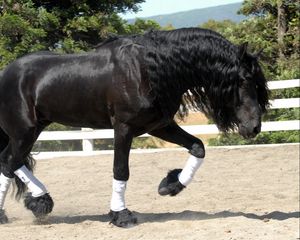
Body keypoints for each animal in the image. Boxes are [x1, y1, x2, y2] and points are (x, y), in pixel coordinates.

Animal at [0, 27, 268, 227]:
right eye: (243, 79)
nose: (254, 127)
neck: (146, 70)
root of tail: (5, 73)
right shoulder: (124, 128)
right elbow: (121, 170)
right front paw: (121, 215)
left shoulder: (159, 125)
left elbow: (198, 146)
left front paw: (171, 185)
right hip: (25, 131)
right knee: (10, 163)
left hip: (32, 129)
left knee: (10, 161)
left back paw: (37, 203)